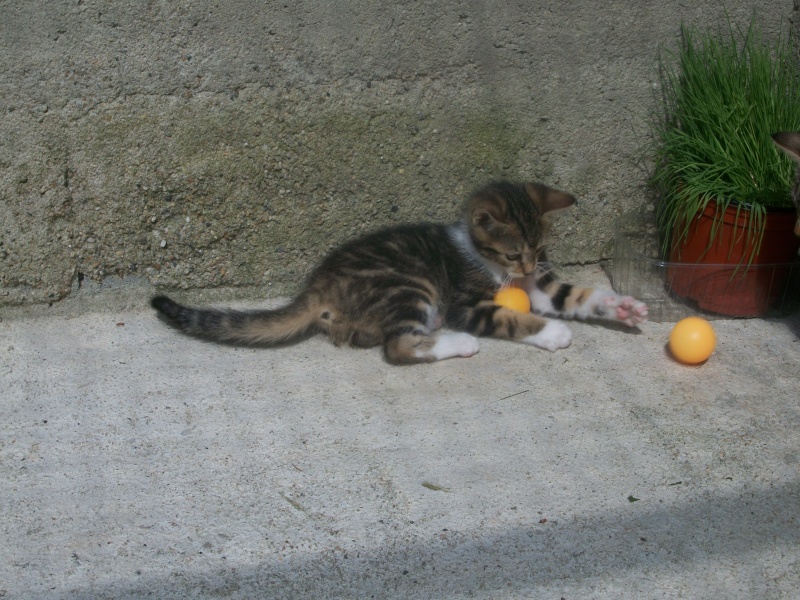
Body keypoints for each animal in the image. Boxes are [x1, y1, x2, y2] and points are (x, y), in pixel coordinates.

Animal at [152, 180, 648, 364]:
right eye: (513, 254)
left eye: (539, 249)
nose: (529, 265)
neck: (482, 256)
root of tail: (317, 285)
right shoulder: (466, 300)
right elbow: (509, 315)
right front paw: (550, 332)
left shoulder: (539, 286)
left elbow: (572, 295)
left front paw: (621, 307)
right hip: (408, 284)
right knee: (397, 346)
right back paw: (457, 343)